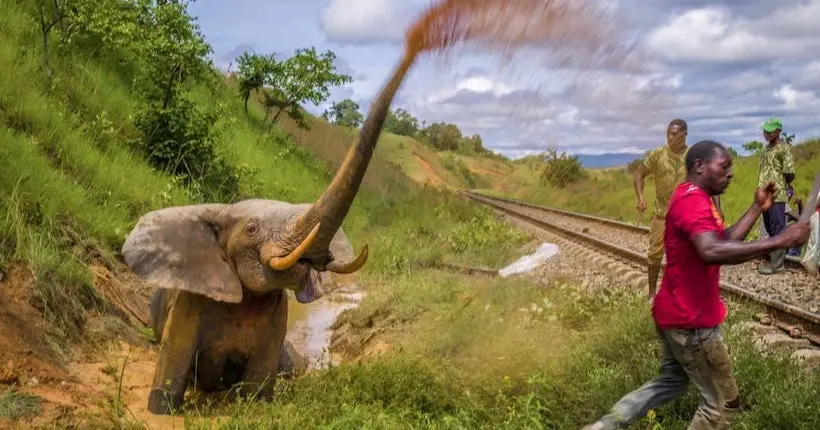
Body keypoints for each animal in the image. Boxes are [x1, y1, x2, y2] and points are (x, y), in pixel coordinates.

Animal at [120, 48, 422, 414]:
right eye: (251, 229)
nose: (416, 45)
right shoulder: (189, 301)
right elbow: (171, 368)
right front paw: (162, 409)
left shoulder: (277, 313)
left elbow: (259, 389)